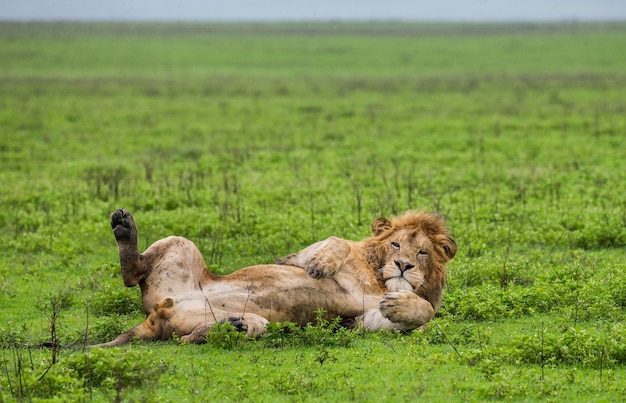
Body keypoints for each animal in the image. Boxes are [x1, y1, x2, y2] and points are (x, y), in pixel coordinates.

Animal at [91, 208, 454, 348]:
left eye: (422, 252)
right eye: (395, 244)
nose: (403, 265)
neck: (378, 279)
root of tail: (156, 315)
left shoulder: (363, 322)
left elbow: (425, 313)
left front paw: (401, 304)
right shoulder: (296, 258)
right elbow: (336, 241)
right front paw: (322, 266)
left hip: (249, 322)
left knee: (188, 338)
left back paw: (232, 327)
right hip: (181, 244)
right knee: (131, 274)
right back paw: (123, 226)